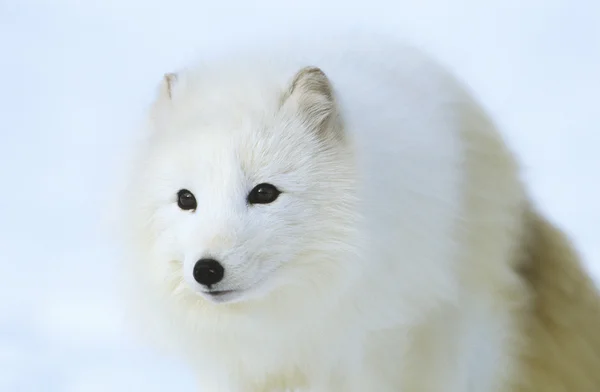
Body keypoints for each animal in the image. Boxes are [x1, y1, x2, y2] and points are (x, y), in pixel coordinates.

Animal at [120, 31, 600, 392]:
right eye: (186, 199)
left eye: (263, 192)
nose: (207, 270)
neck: (283, 322)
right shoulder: (241, 369)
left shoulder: (368, 353)